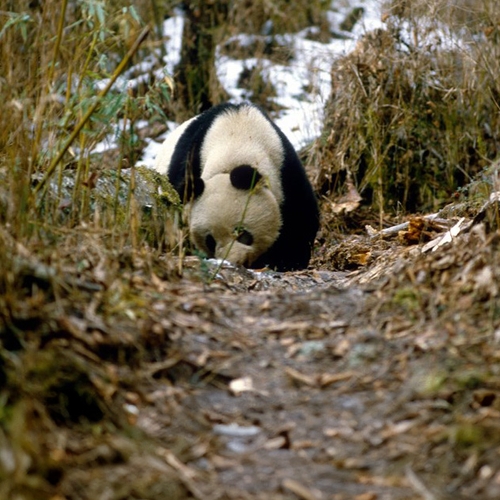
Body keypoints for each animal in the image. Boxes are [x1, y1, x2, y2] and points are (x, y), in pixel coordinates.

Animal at [155, 103, 320, 272]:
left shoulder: (285, 167)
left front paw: (287, 261)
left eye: (242, 233)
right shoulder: (191, 160)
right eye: (210, 240)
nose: (232, 261)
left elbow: (300, 214)